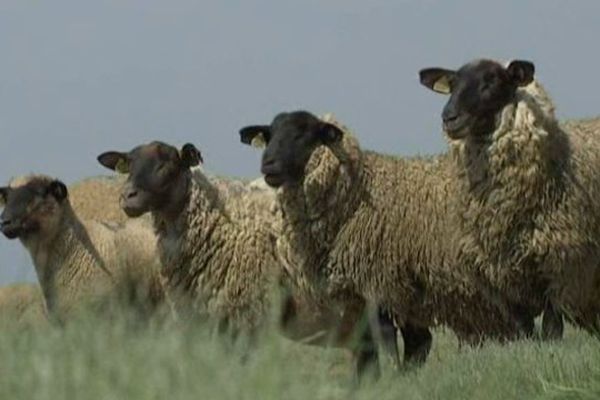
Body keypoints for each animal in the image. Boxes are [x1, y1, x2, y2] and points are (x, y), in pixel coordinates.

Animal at [239, 109, 524, 368]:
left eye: (302, 133)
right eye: (269, 135)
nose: (268, 164)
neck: (357, 193)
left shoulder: (381, 283)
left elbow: (390, 345)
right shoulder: (376, 294)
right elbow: (385, 348)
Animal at [420, 59, 600, 340]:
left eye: (492, 81)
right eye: (452, 84)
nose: (449, 117)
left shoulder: (560, 266)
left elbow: (552, 328)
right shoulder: (498, 278)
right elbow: (523, 329)